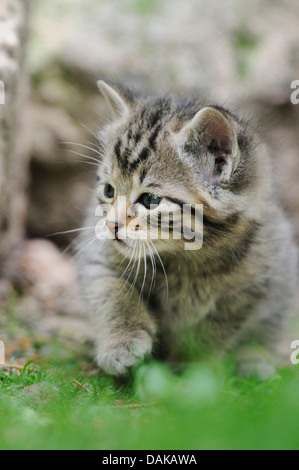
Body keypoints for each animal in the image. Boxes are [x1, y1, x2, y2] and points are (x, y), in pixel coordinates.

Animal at [78, 79, 299, 376]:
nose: (111, 224)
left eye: (150, 200)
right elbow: (112, 293)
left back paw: (254, 362)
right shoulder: (99, 257)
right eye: (109, 191)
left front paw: (191, 368)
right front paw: (122, 343)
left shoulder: (252, 289)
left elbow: (212, 334)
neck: (186, 259)